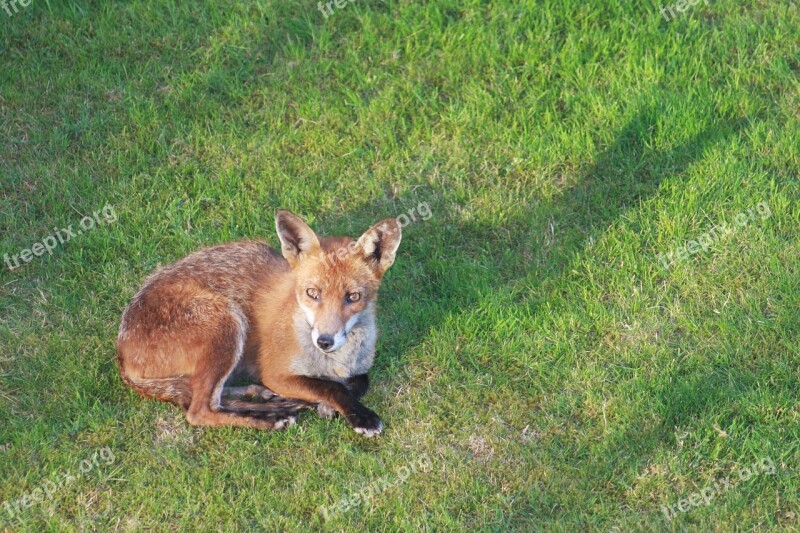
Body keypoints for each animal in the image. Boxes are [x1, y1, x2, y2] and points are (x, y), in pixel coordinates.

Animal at [115, 210, 404, 434]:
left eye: (353, 297)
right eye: (312, 293)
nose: (325, 341)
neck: (333, 362)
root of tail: (122, 354)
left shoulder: (358, 368)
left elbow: (359, 381)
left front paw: (330, 404)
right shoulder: (275, 374)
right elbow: (329, 386)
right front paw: (359, 415)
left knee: (203, 397)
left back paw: (257, 396)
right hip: (227, 322)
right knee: (198, 410)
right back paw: (270, 418)